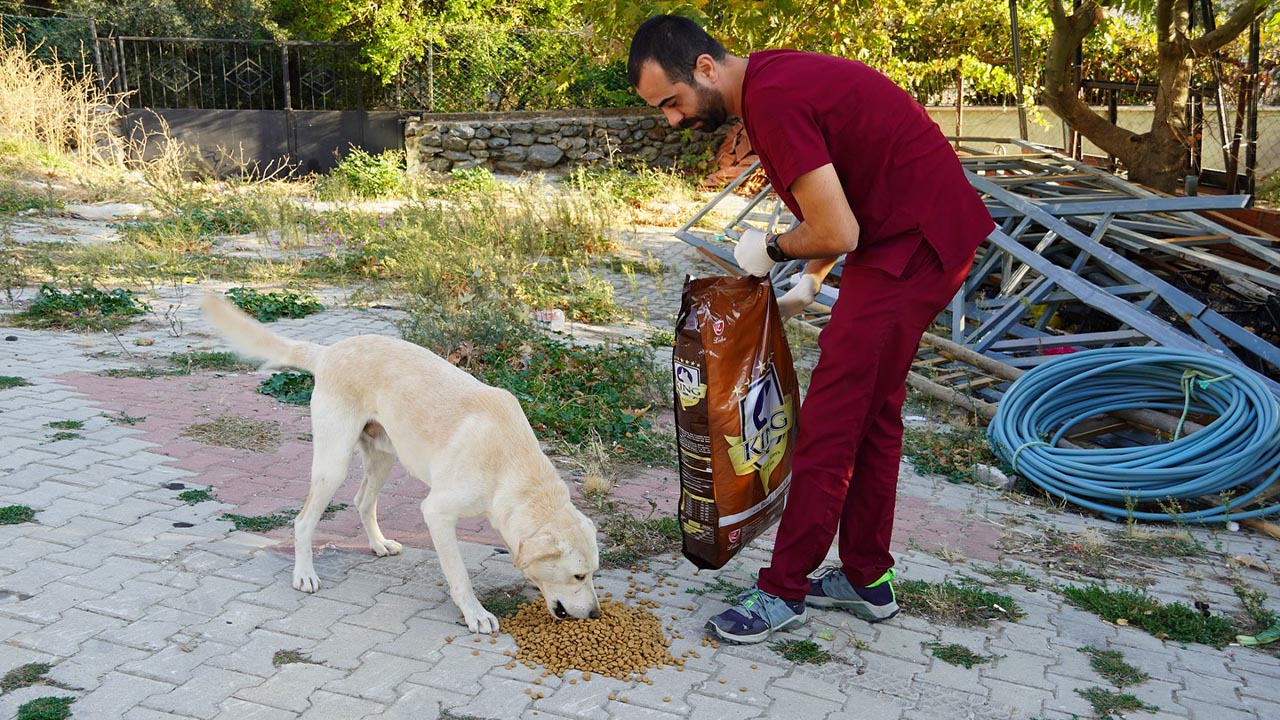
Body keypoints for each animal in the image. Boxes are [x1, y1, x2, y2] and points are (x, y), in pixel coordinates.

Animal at [199, 292, 599, 627]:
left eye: (594, 572)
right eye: (579, 575)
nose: (595, 614)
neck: (512, 467)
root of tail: (329, 351)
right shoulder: (437, 513)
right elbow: (459, 574)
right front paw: (474, 613)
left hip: (382, 459)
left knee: (362, 502)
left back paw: (378, 544)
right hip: (333, 464)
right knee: (303, 521)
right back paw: (304, 574)